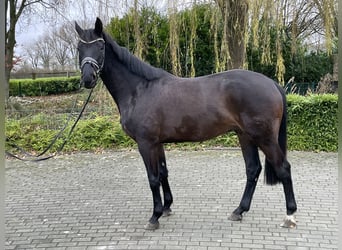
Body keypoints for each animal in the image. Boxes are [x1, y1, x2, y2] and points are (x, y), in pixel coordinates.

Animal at [75, 17, 296, 229]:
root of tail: (272, 83)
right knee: (252, 169)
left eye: (100, 46)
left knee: (283, 168)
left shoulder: (146, 143)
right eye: (79, 48)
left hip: (264, 137)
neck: (140, 89)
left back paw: (289, 216)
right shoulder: (157, 144)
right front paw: (166, 208)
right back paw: (239, 211)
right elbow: (163, 173)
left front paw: (154, 217)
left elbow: (153, 179)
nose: (88, 78)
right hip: (245, 136)